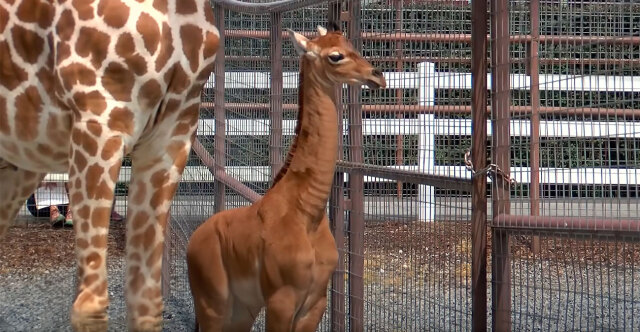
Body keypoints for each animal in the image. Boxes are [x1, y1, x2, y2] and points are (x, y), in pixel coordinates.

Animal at [188, 24, 388, 332]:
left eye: (351, 45)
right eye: (335, 56)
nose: (377, 76)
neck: (308, 213)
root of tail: (193, 242)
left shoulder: (315, 301)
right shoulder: (281, 299)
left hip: (241, 308)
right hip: (212, 303)